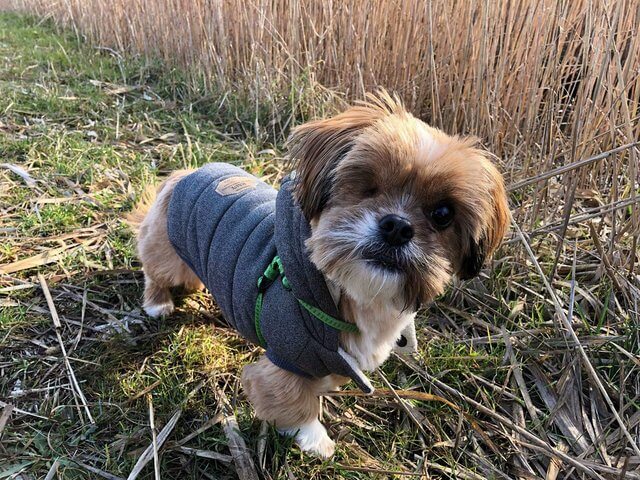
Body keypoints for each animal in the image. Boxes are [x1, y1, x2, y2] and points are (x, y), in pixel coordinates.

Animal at [129, 93, 510, 458]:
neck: (350, 297)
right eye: (368, 187)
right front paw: (317, 441)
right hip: (165, 253)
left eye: (443, 214)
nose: (398, 226)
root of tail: (185, 173)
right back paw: (158, 303)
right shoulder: (283, 362)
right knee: (153, 271)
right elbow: (292, 402)